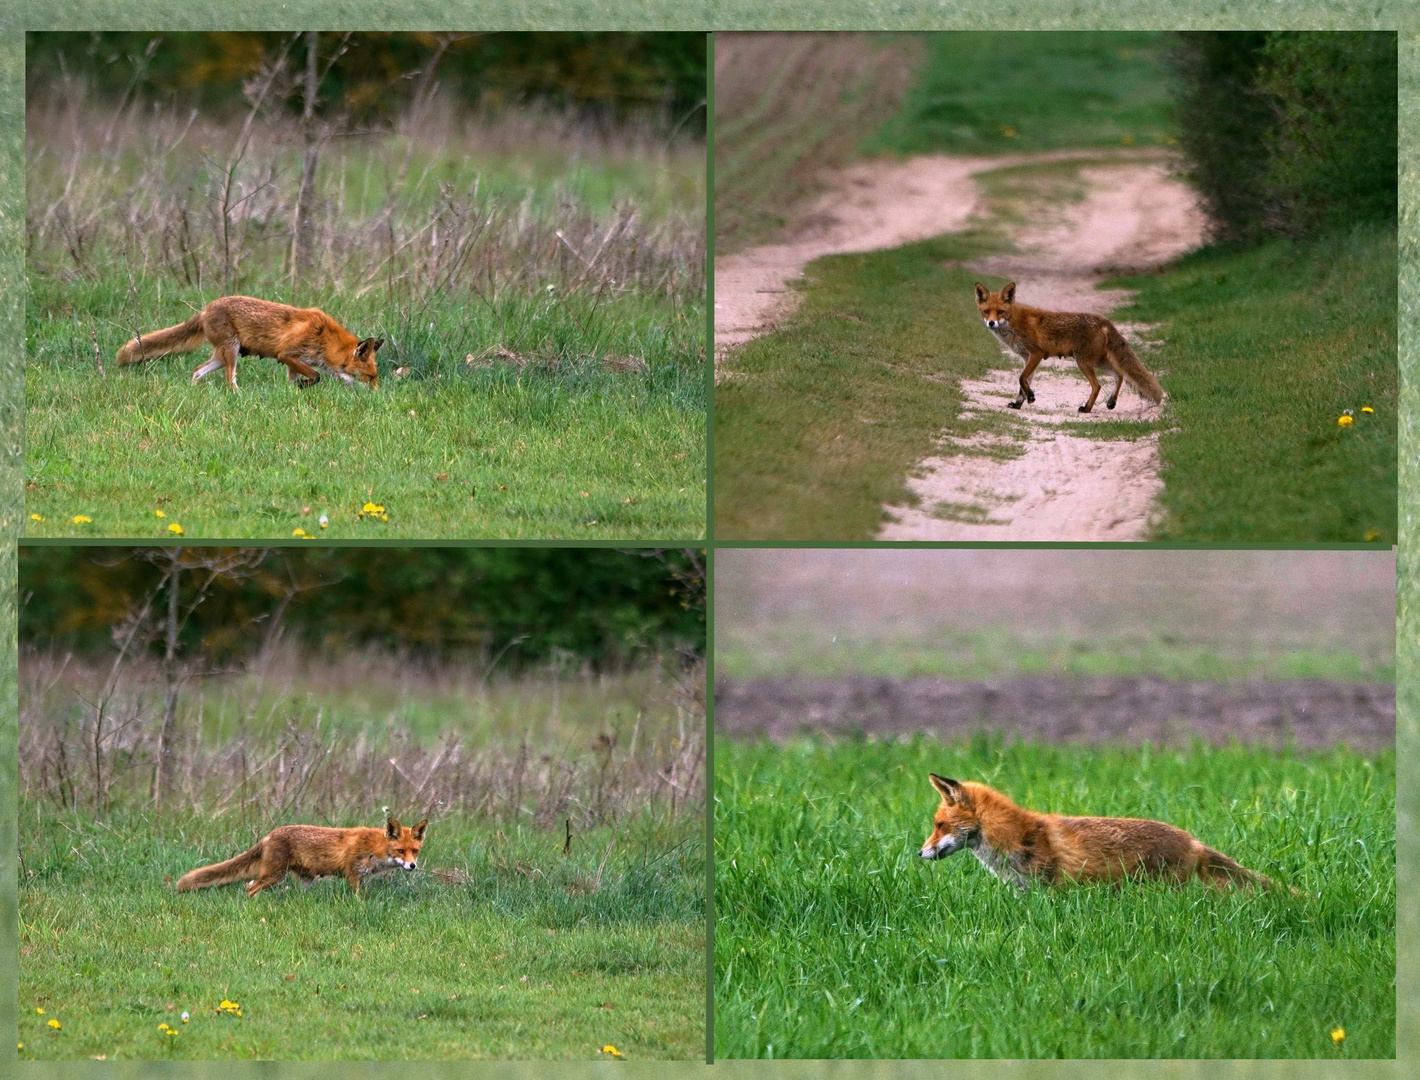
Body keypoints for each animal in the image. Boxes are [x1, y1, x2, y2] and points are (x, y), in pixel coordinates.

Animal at [114, 296, 383, 388]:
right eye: (370, 377)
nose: (376, 396)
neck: (326, 340)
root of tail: (205, 309)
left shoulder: (292, 361)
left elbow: (296, 379)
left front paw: (295, 389)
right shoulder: (288, 354)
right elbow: (316, 375)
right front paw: (303, 385)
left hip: (221, 356)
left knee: (197, 370)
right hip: (231, 352)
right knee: (229, 380)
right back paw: (240, 396)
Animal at [176, 811, 426, 896]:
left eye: (415, 851)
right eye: (400, 851)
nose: (412, 866)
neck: (375, 847)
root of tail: (269, 835)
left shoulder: (362, 877)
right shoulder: (352, 873)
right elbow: (357, 898)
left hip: (304, 879)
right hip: (274, 875)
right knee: (250, 888)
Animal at [976, 279, 1164, 411]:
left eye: (1001, 312)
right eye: (986, 311)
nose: (991, 323)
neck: (1014, 323)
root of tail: (1103, 320)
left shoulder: (1036, 354)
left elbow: (1021, 379)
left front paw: (1030, 398)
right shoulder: (1025, 357)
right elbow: (1023, 383)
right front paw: (1018, 404)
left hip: (1083, 362)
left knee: (1097, 386)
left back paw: (1086, 409)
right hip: (1098, 361)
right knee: (1119, 375)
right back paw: (1111, 402)